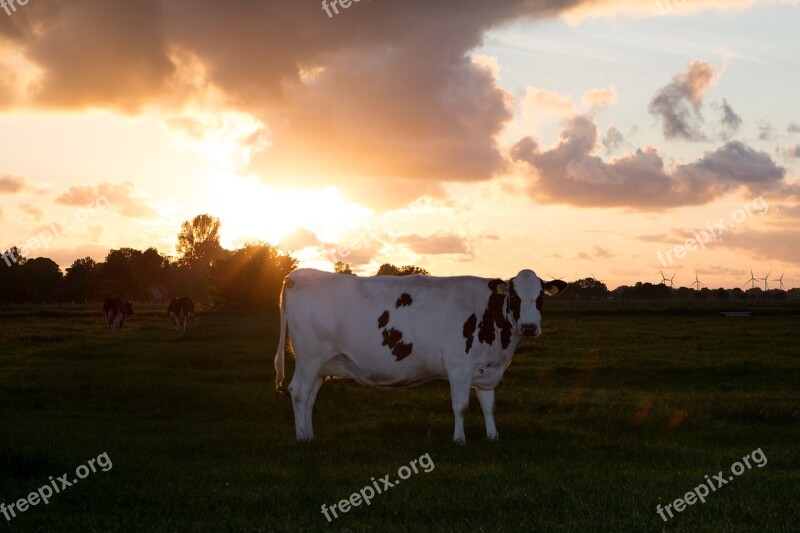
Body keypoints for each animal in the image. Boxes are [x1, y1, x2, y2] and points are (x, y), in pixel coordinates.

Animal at [276, 268, 568, 442]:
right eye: (515, 296)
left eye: (541, 296)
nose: (529, 327)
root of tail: (298, 274)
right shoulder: (458, 368)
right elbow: (461, 406)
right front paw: (459, 440)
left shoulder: (486, 370)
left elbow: (488, 406)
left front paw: (493, 436)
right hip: (309, 357)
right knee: (299, 392)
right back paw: (301, 438)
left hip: (322, 364)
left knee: (310, 397)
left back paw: (310, 435)